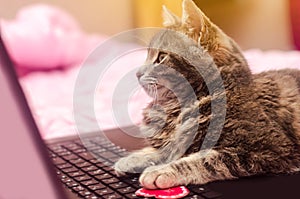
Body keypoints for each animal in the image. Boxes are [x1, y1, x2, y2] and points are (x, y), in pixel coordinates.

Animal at [113, 0, 300, 190]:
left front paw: (161, 170)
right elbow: (166, 149)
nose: (137, 73)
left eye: (161, 57)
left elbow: (204, 160)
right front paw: (135, 157)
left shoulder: (267, 149)